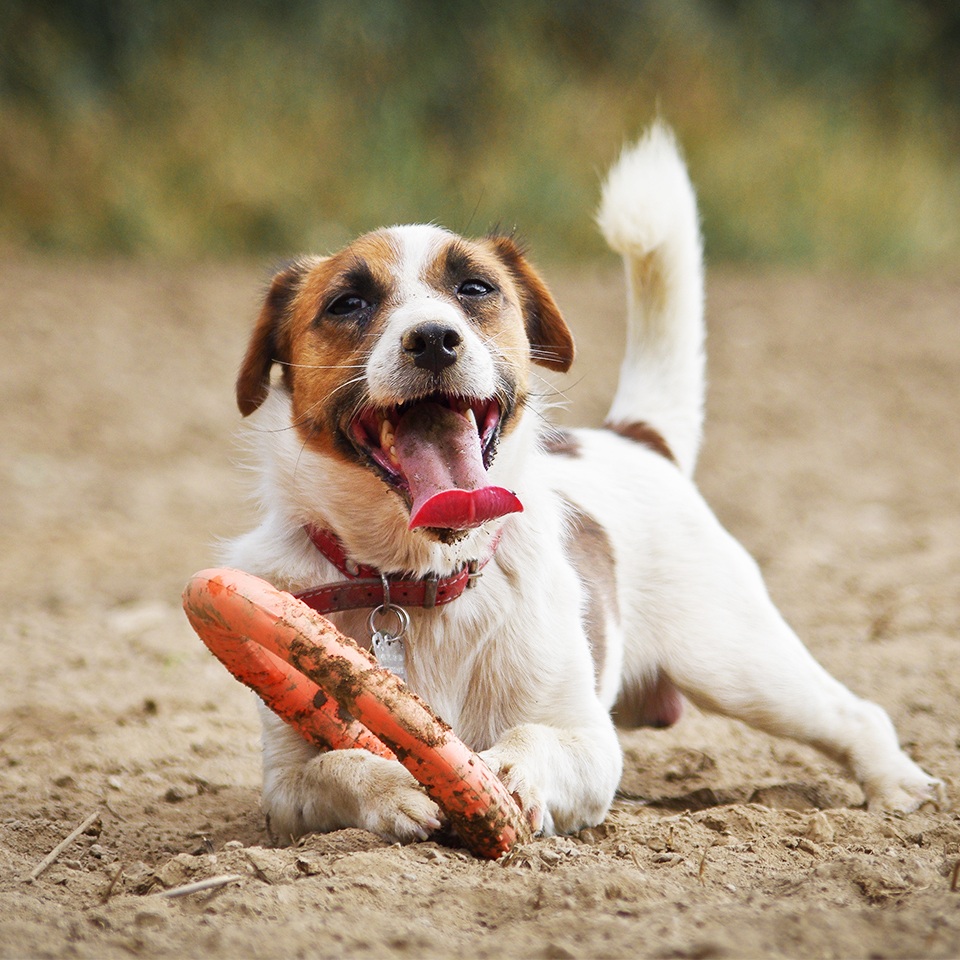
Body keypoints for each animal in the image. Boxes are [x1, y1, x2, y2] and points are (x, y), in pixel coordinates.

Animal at [221, 124, 940, 844]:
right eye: (348, 303)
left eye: (476, 288)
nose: (433, 339)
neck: (422, 576)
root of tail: (635, 436)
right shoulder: (284, 782)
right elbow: (334, 766)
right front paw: (394, 781)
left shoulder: (590, 743)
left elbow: (538, 740)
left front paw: (509, 773)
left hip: (742, 667)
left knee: (856, 715)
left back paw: (899, 788)